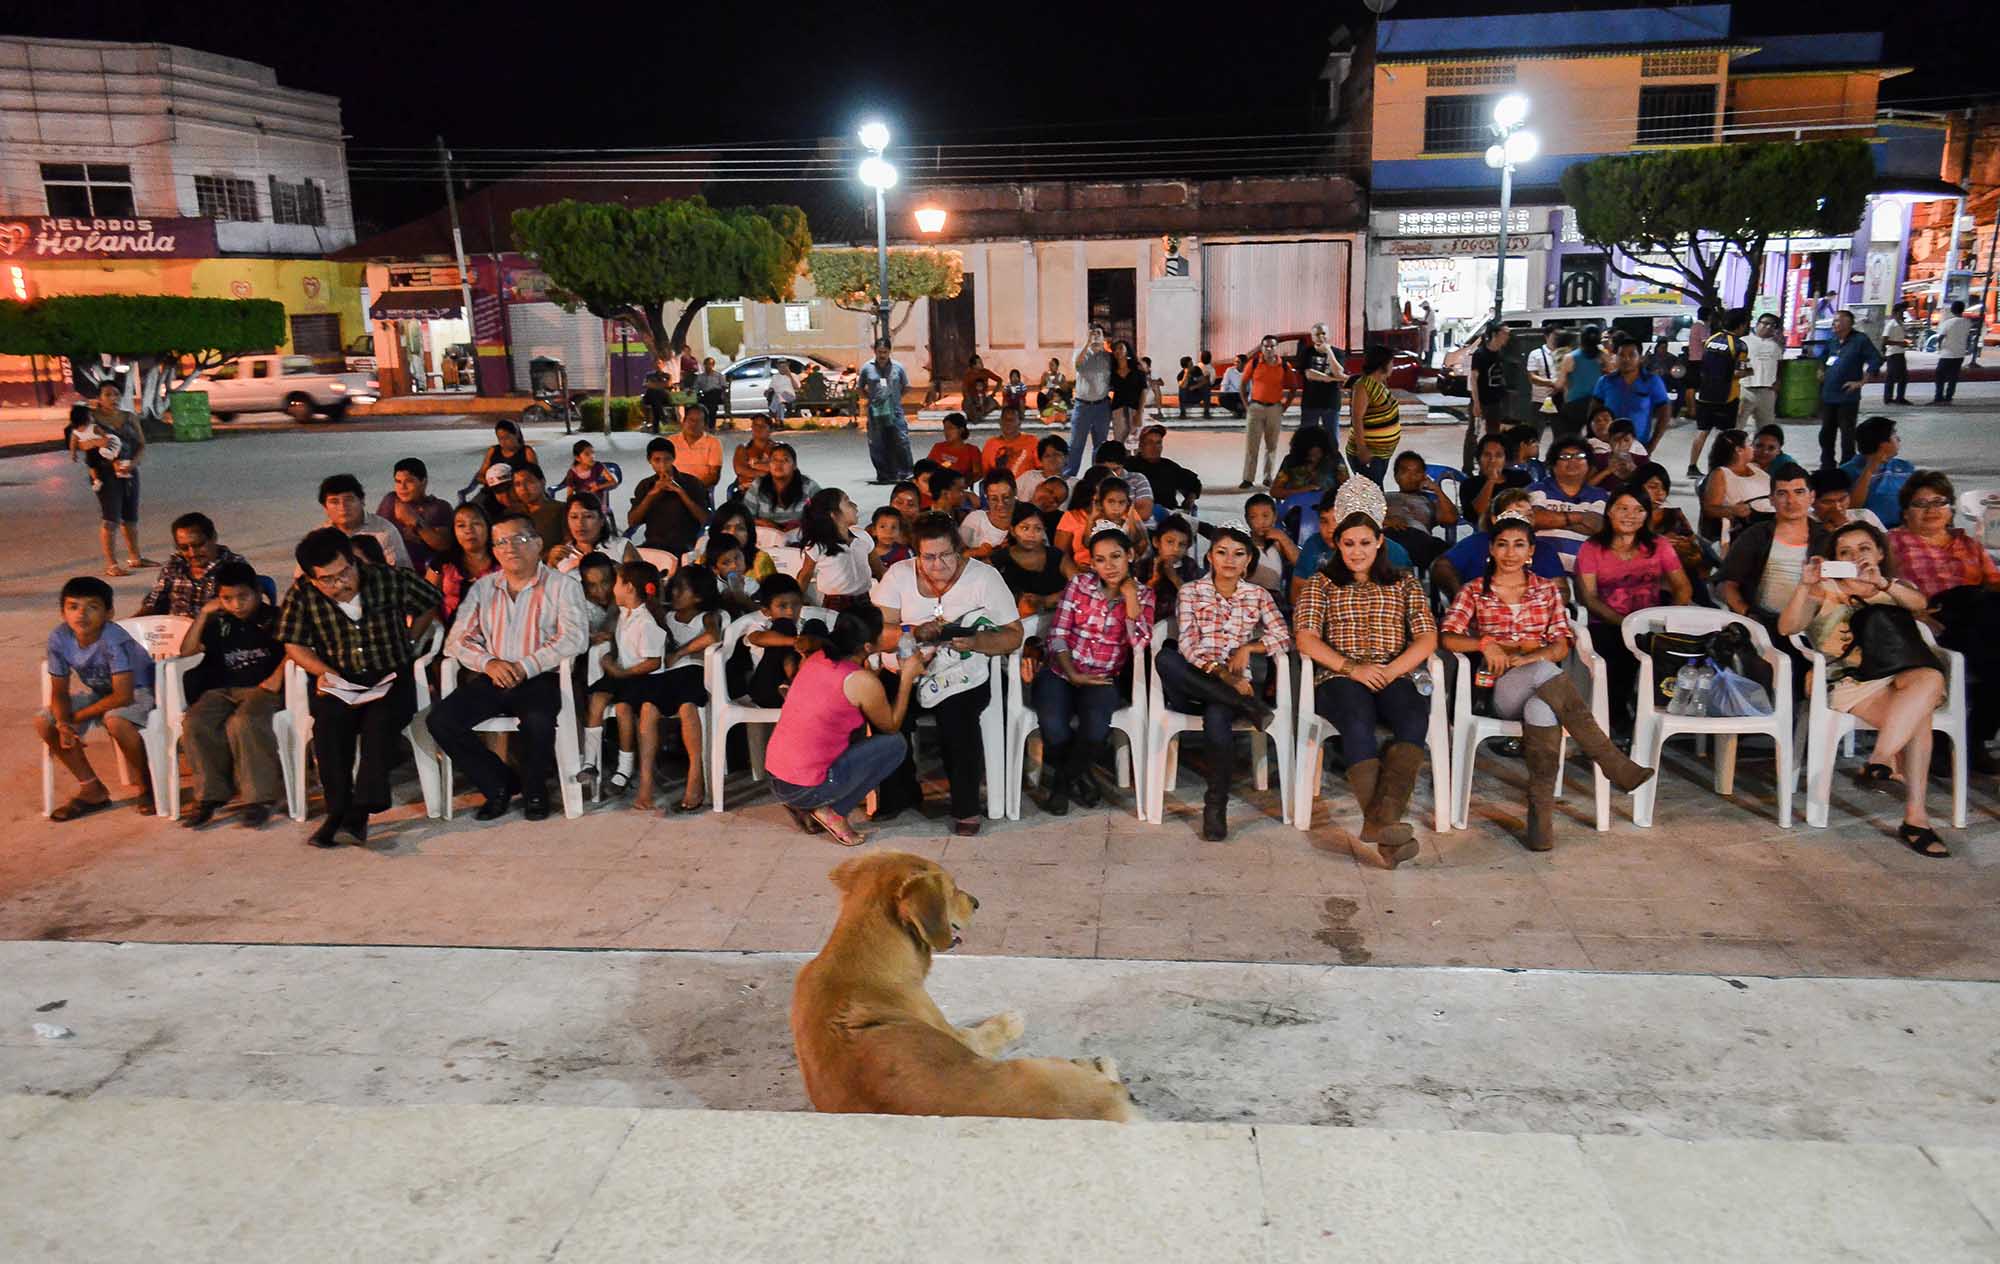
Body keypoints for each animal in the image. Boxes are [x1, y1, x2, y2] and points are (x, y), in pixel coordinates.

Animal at [792, 856, 1144, 1120]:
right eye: (953, 888)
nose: (977, 902)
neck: (857, 954)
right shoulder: (960, 1037)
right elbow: (986, 1032)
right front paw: (1009, 1021)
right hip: (1043, 1067)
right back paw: (1097, 1063)